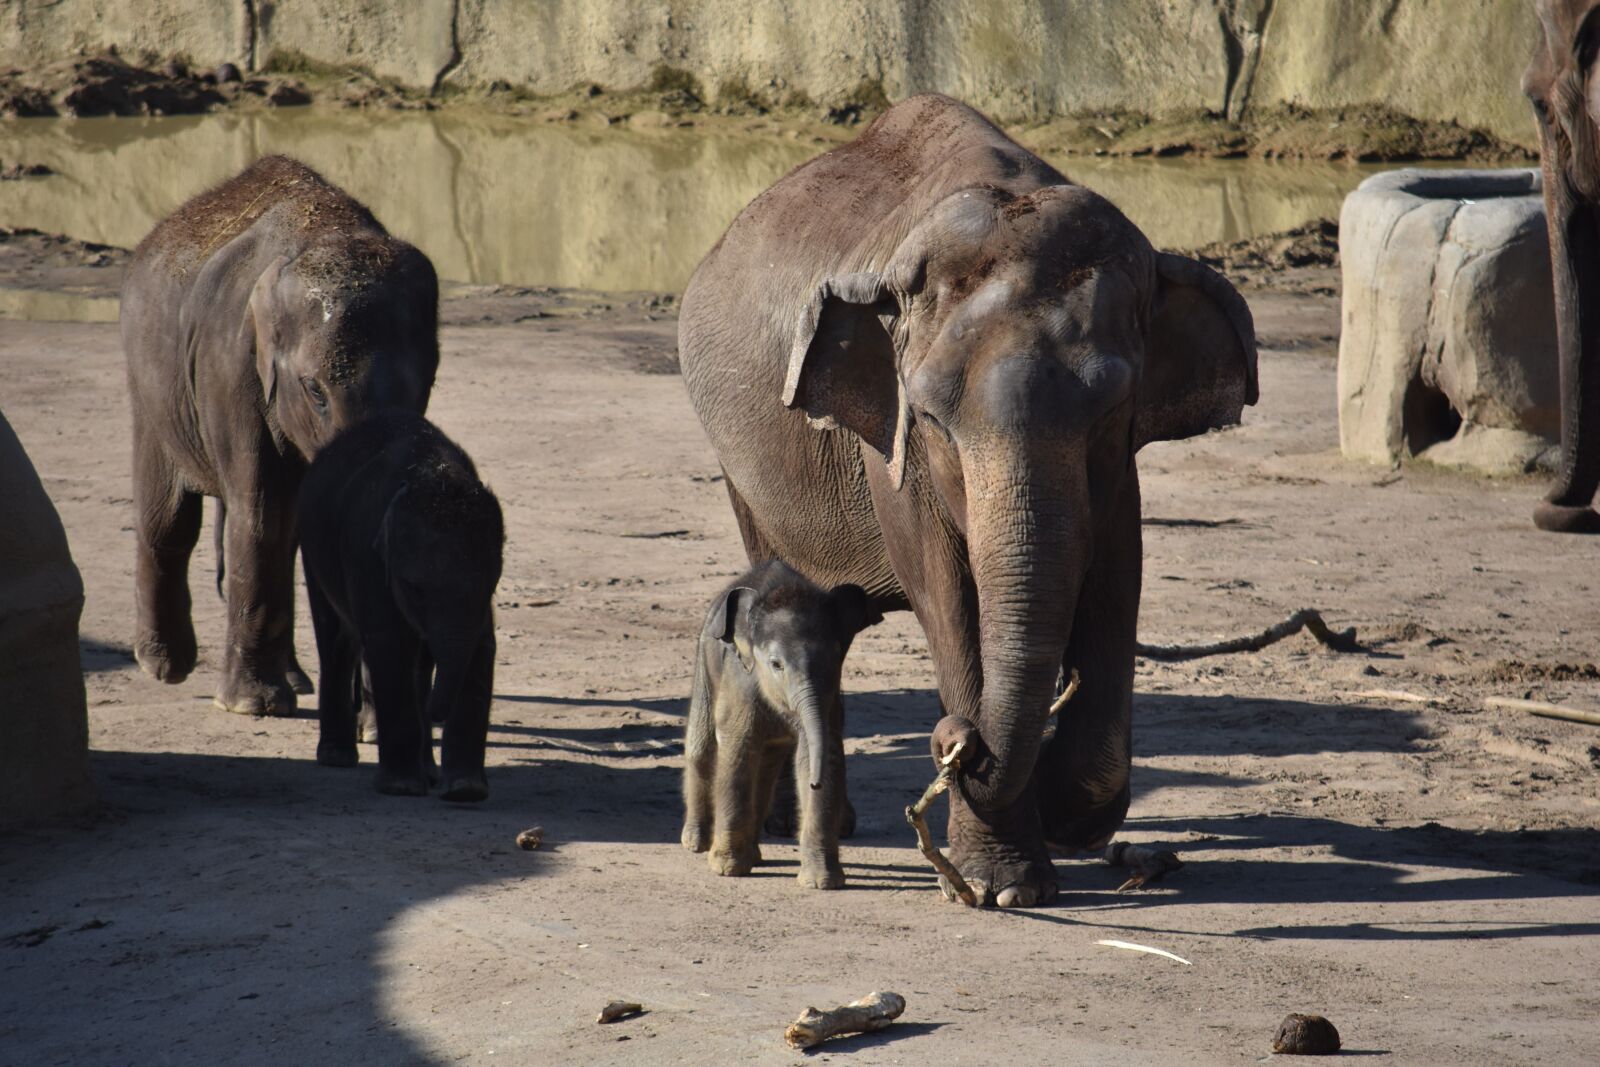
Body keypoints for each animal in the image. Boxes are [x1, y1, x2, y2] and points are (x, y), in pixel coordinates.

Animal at [121, 155, 440, 715]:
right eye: (314, 390)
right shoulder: (232, 364)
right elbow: (262, 511)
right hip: (152, 389)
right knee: (168, 518)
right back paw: (165, 666)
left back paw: (295, 680)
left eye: (422, 386)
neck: (327, 228)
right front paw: (252, 706)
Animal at [297, 411, 503, 801]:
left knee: (418, 666)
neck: (434, 473)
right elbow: (389, 644)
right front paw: (402, 789)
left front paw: (465, 790)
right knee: (337, 639)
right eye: (413, 588)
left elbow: (480, 649)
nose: (437, 715)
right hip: (313, 550)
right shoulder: (367, 556)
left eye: (492, 583)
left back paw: (429, 772)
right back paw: (337, 757)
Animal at [681, 560, 881, 888]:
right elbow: (738, 748)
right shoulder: (740, 681)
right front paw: (726, 869)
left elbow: (819, 751)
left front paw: (822, 883)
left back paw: (753, 855)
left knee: (766, 769)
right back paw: (696, 843)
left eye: (835, 659)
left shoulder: (830, 699)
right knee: (702, 748)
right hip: (704, 661)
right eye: (776, 664)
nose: (814, 782)